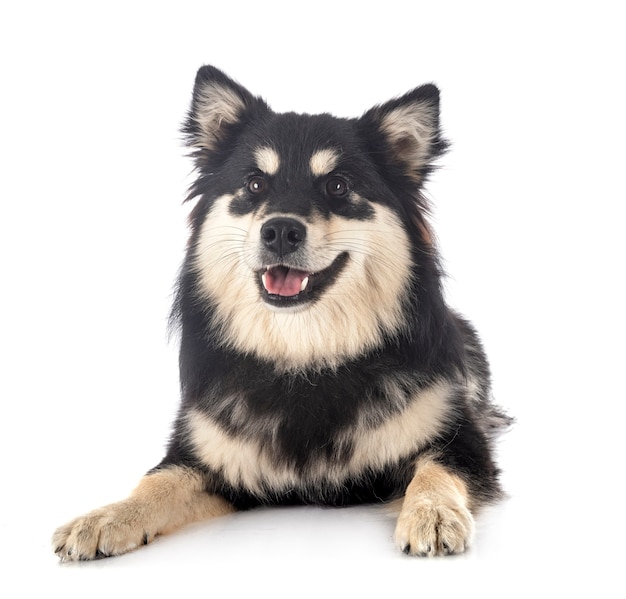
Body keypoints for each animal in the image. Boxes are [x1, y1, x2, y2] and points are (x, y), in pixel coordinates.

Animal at [53, 65, 510, 564]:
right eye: (255, 184)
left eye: (337, 185)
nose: (280, 231)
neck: (305, 355)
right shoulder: (204, 458)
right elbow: (156, 482)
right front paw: (107, 516)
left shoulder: (461, 442)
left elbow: (437, 469)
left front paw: (433, 513)